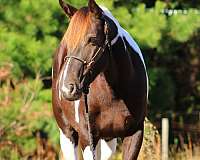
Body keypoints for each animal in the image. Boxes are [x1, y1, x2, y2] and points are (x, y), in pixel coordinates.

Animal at [52, 0, 148, 159]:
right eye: (68, 42)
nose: (67, 89)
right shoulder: (88, 137)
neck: (115, 91)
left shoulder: (135, 134)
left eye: (92, 39)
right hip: (68, 134)